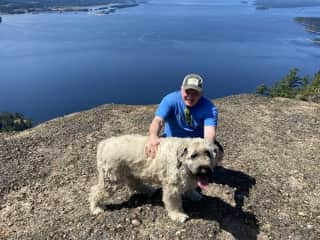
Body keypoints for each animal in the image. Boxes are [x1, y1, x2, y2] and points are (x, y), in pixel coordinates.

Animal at [87, 134, 222, 222]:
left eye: (208, 154)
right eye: (193, 155)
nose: (204, 170)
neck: (181, 161)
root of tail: (104, 144)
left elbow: (190, 188)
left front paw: (193, 194)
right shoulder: (171, 188)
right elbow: (173, 202)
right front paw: (177, 215)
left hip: (131, 171)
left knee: (134, 183)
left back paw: (148, 189)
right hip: (111, 178)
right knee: (96, 191)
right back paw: (96, 207)